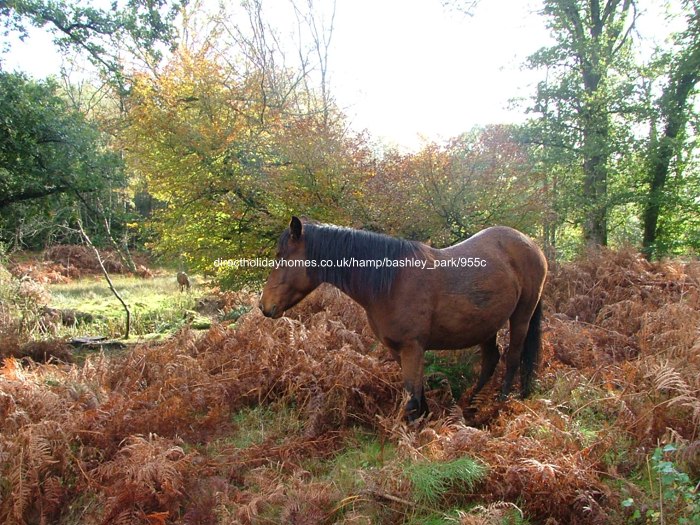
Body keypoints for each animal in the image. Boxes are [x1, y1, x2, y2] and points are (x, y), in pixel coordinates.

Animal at [258, 215, 548, 420]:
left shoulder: (412, 348)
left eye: (281, 257)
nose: (264, 306)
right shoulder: (398, 350)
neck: (391, 283)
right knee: (491, 359)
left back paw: (500, 402)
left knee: (513, 357)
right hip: (485, 325)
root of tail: (531, 244)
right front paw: (427, 420)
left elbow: (410, 401)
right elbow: (417, 393)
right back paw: (470, 405)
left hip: (521, 316)